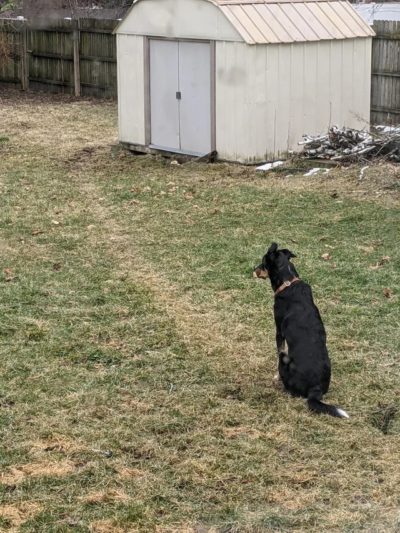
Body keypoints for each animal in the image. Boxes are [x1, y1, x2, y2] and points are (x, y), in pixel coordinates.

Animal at [255, 242, 348, 420]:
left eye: (263, 262)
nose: (254, 269)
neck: (288, 281)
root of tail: (315, 390)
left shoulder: (279, 332)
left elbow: (278, 349)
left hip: (285, 359)